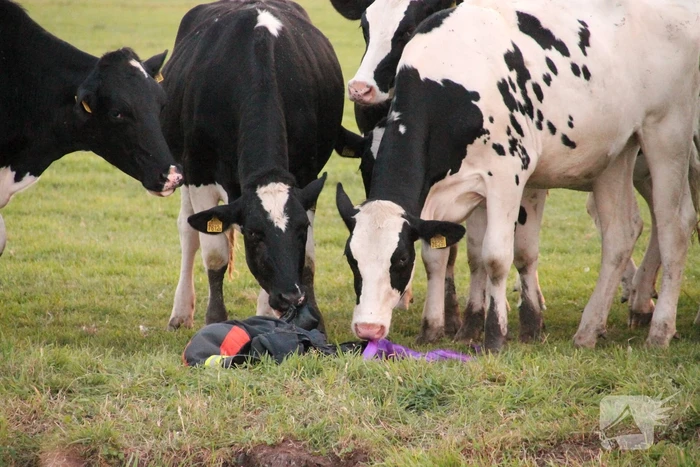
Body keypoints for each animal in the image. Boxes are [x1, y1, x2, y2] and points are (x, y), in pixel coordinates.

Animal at [161, 0, 344, 331]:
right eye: (255, 234)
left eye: (301, 230)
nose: (290, 297)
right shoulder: (199, 175)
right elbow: (215, 255)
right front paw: (214, 320)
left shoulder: (306, 178)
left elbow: (308, 258)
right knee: (188, 231)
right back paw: (180, 312)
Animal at [336, 0, 700, 350]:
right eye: (352, 260)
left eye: (399, 260)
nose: (368, 328)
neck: (451, 77)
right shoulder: (446, 193)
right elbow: (443, 254)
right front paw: (435, 328)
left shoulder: (507, 175)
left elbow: (496, 256)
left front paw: (495, 335)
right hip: (616, 153)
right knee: (620, 233)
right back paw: (588, 329)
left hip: (667, 133)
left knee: (675, 225)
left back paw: (659, 330)